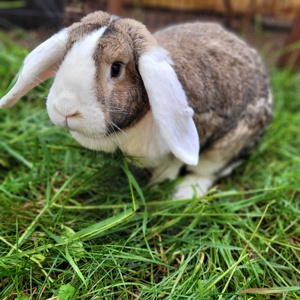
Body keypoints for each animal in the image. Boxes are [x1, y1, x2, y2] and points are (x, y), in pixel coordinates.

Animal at [0, 11, 272, 199]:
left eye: (116, 68)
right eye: (65, 55)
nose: (66, 109)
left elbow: (177, 163)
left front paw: (160, 182)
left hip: (229, 144)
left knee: (208, 170)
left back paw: (183, 194)